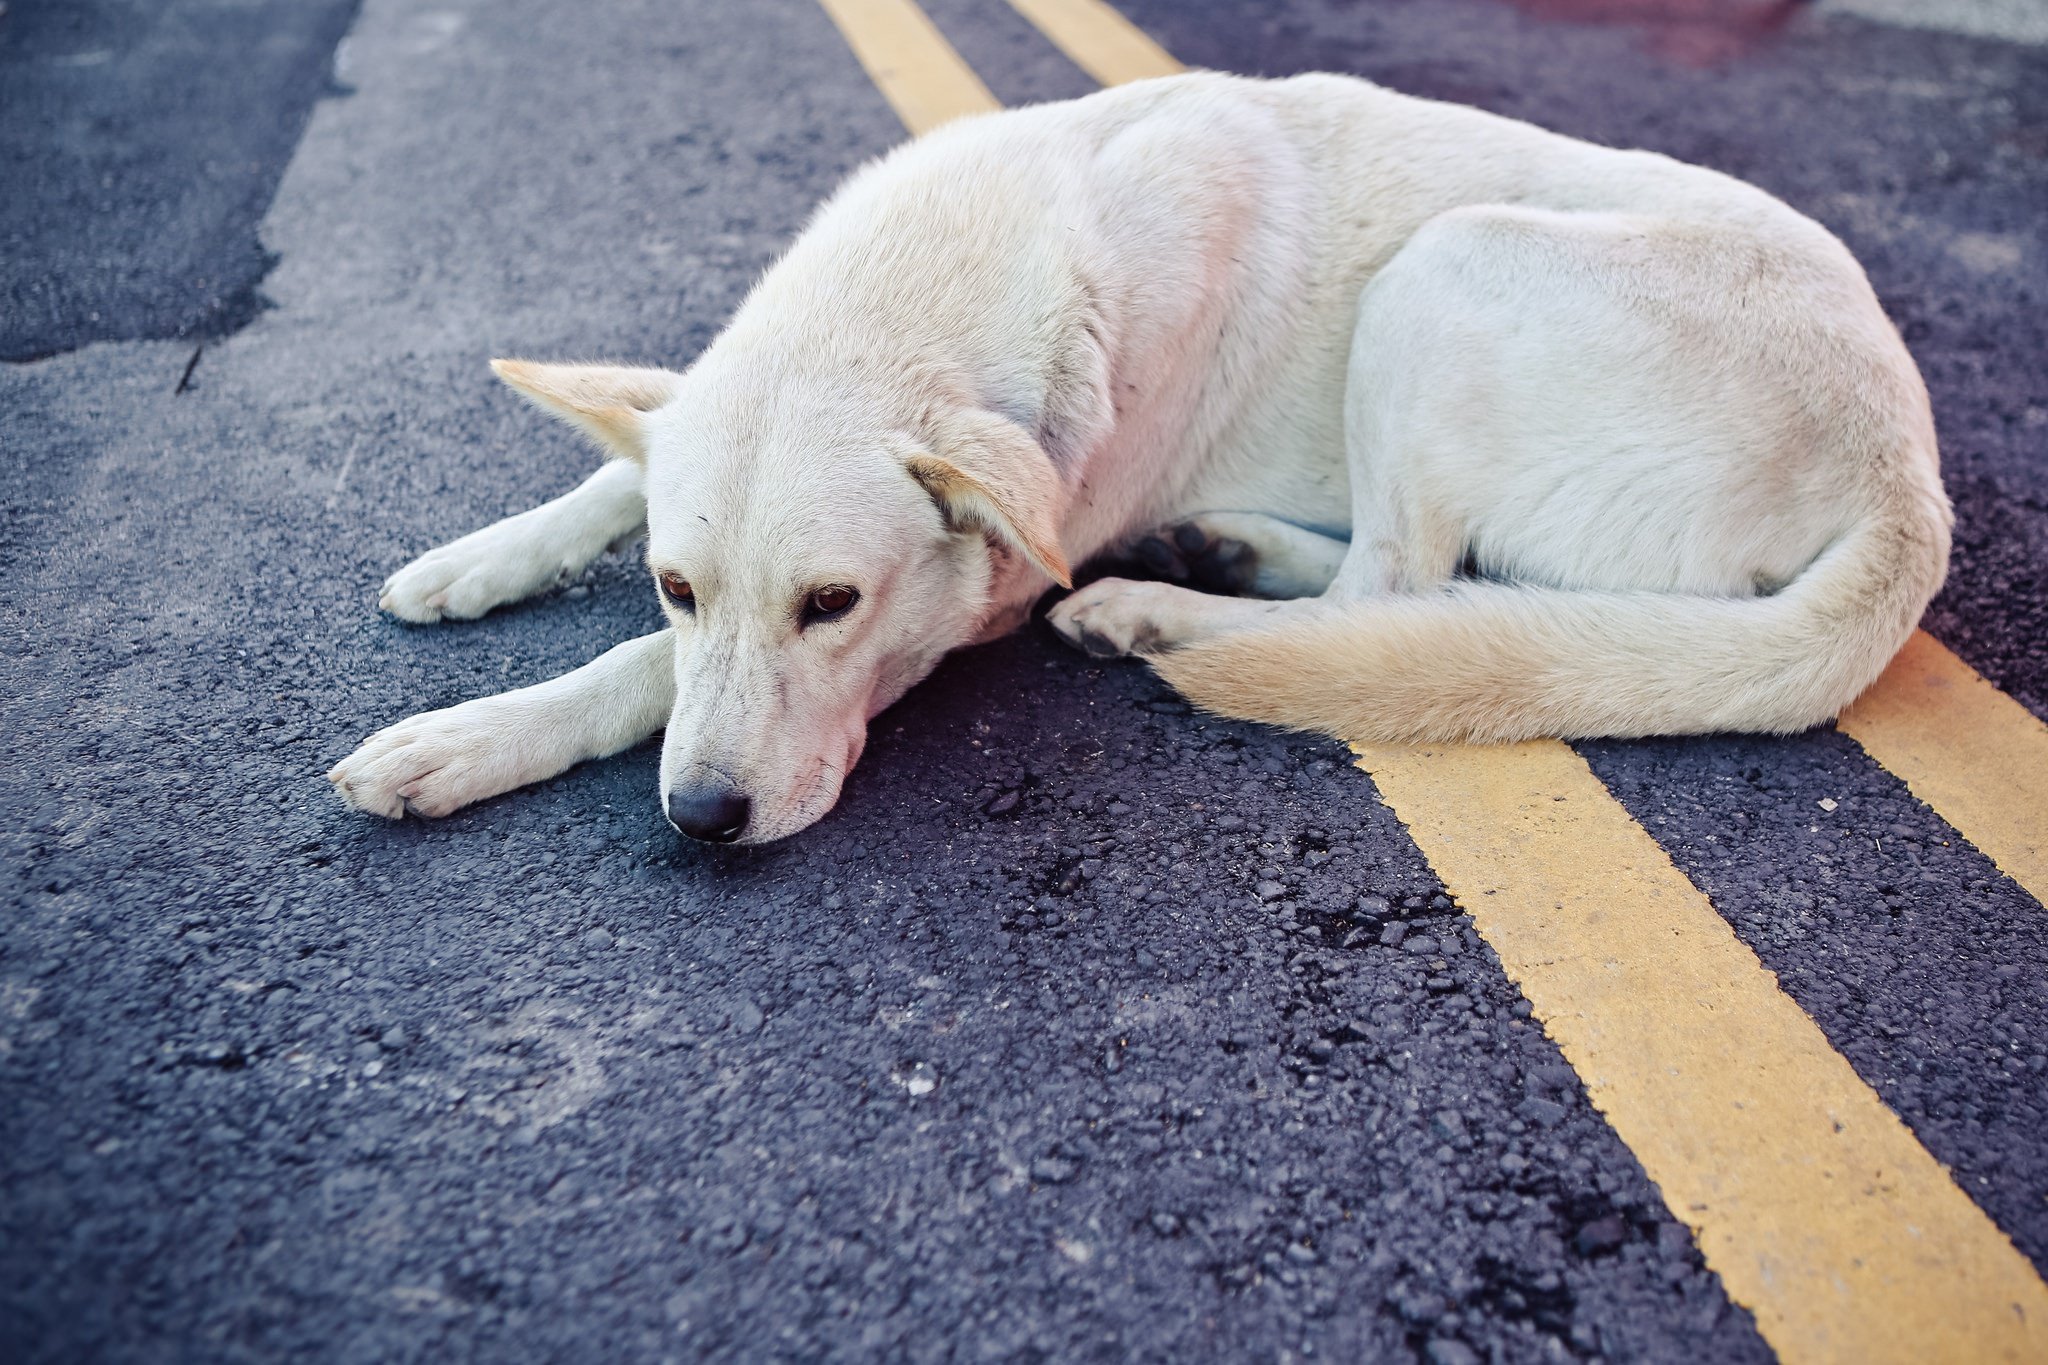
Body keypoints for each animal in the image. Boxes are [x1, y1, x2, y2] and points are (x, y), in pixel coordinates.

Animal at [331, 74, 1949, 847]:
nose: (702, 823)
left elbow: (632, 680)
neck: (926, 289)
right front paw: (478, 560)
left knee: (1388, 593)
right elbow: (626, 468)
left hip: (1448, 267)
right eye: (676, 584)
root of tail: (1908, 476)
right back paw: (1217, 549)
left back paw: (1164, 611)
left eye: (834, 605)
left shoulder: (971, 601)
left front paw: (465, 739)